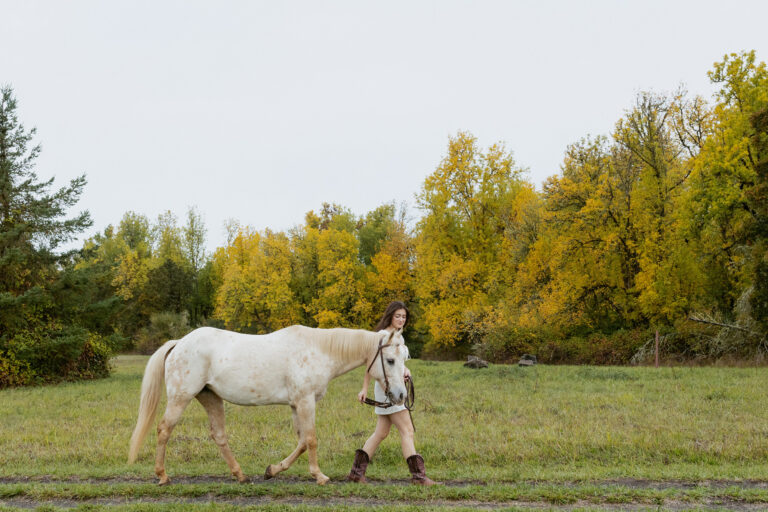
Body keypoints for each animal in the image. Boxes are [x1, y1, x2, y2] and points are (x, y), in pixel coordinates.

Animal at [127, 325, 408, 485]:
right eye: (390, 360)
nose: (401, 395)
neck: (318, 350)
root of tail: (178, 344)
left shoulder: (296, 405)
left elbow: (302, 442)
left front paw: (272, 470)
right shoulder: (305, 402)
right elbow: (311, 440)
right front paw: (319, 476)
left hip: (210, 397)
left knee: (218, 435)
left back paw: (240, 475)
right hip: (181, 398)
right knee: (164, 430)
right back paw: (162, 476)